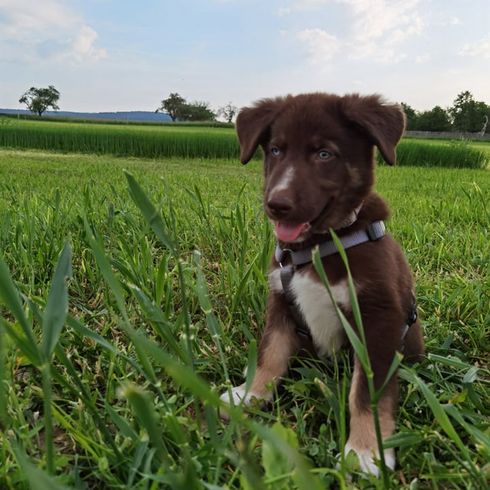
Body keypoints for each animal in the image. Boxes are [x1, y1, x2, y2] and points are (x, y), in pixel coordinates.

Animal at [220, 92, 424, 474]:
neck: (318, 245)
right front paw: (249, 394)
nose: (276, 205)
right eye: (276, 150)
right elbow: (270, 353)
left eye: (324, 154)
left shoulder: (378, 318)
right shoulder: (280, 301)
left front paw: (365, 450)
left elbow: (366, 393)